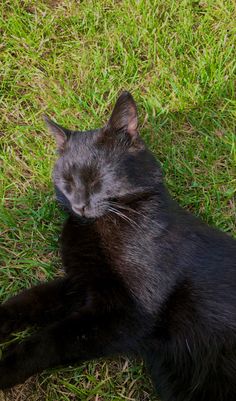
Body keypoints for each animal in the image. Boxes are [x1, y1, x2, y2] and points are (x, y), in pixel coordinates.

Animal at [0, 92, 236, 398]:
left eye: (97, 178)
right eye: (66, 180)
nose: (79, 204)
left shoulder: (124, 314)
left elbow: (49, 339)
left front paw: (3, 368)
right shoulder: (81, 283)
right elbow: (30, 300)